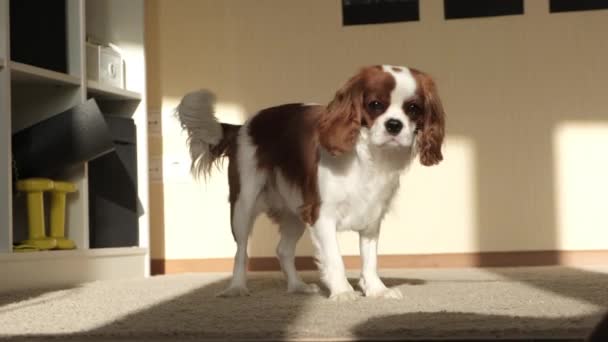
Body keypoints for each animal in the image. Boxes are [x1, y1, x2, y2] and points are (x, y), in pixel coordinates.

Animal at [177, 65, 446, 300]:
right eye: (375, 105)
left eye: (413, 109)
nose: (394, 125)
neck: (367, 154)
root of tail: (243, 126)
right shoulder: (322, 214)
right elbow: (335, 258)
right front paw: (343, 292)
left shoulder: (371, 216)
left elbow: (370, 260)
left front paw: (377, 290)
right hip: (244, 204)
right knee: (241, 250)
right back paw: (236, 288)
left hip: (295, 212)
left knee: (283, 250)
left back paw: (297, 287)